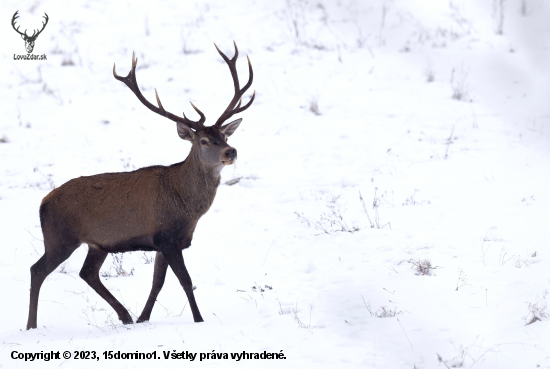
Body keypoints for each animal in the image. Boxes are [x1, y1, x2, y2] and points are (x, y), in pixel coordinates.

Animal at [27, 41, 256, 330]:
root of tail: (42, 203)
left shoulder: (164, 241)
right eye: (203, 141)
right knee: (37, 269)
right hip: (60, 237)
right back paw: (31, 325)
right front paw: (199, 319)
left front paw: (143, 317)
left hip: (97, 244)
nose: (231, 151)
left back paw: (125, 316)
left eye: (224, 135)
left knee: (87, 273)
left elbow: (158, 282)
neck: (187, 206)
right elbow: (186, 281)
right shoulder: (167, 237)